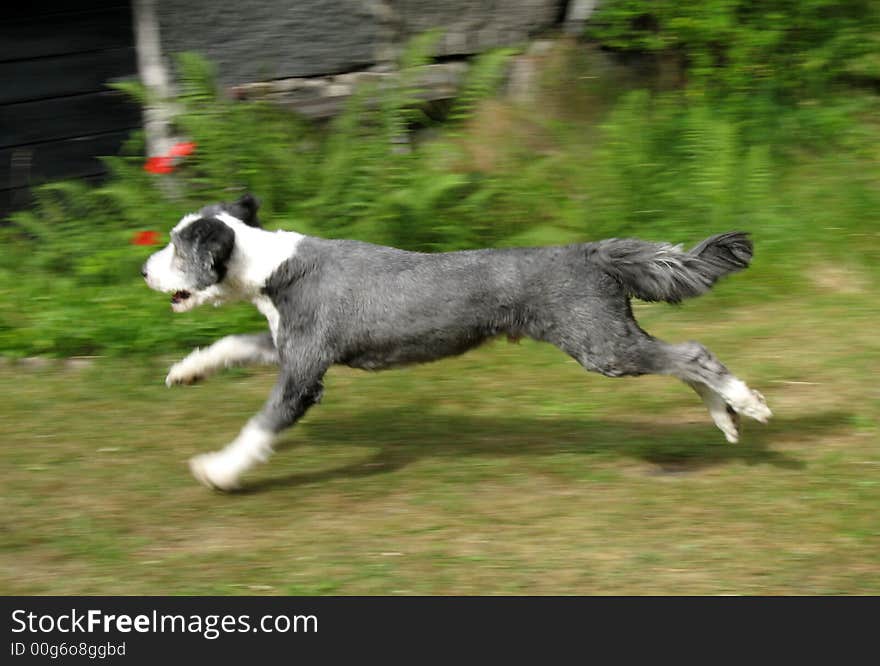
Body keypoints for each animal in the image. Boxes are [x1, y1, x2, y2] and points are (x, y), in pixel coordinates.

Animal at [143, 192, 768, 488]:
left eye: (176, 247)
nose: (144, 271)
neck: (273, 268)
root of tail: (590, 252)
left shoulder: (303, 375)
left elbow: (259, 427)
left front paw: (217, 471)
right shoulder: (291, 346)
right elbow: (234, 343)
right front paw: (185, 370)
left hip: (602, 345)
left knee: (692, 354)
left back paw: (746, 403)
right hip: (610, 340)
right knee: (683, 361)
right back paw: (726, 418)